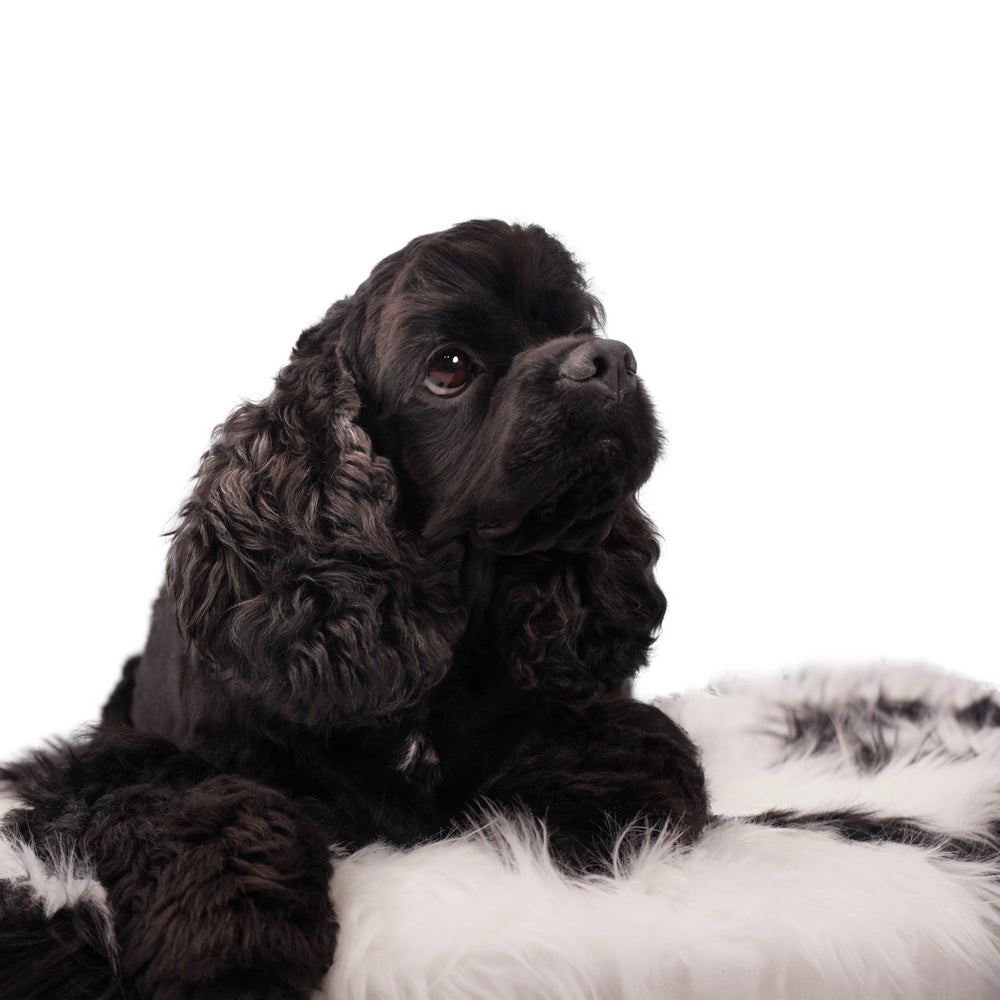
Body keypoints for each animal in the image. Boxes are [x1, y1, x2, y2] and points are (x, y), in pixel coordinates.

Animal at [1, 223, 704, 1000]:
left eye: (572, 328)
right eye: (449, 367)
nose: (610, 359)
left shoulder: (585, 705)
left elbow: (616, 748)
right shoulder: (130, 768)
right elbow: (221, 811)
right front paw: (233, 947)